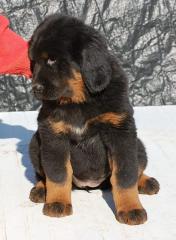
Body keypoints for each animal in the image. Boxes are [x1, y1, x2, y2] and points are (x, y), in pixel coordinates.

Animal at [28, 14, 160, 225]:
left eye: (52, 59)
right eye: (33, 62)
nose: (35, 89)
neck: (80, 100)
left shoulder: (120, 133)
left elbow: (125, 175)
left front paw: (131, 208)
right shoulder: (53, 134)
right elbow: (58, 174)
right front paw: (57, 203)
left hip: (138, 144)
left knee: (137, 167)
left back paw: (146, 181)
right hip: (35, 143)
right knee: (42, 173)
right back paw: (41, 189)